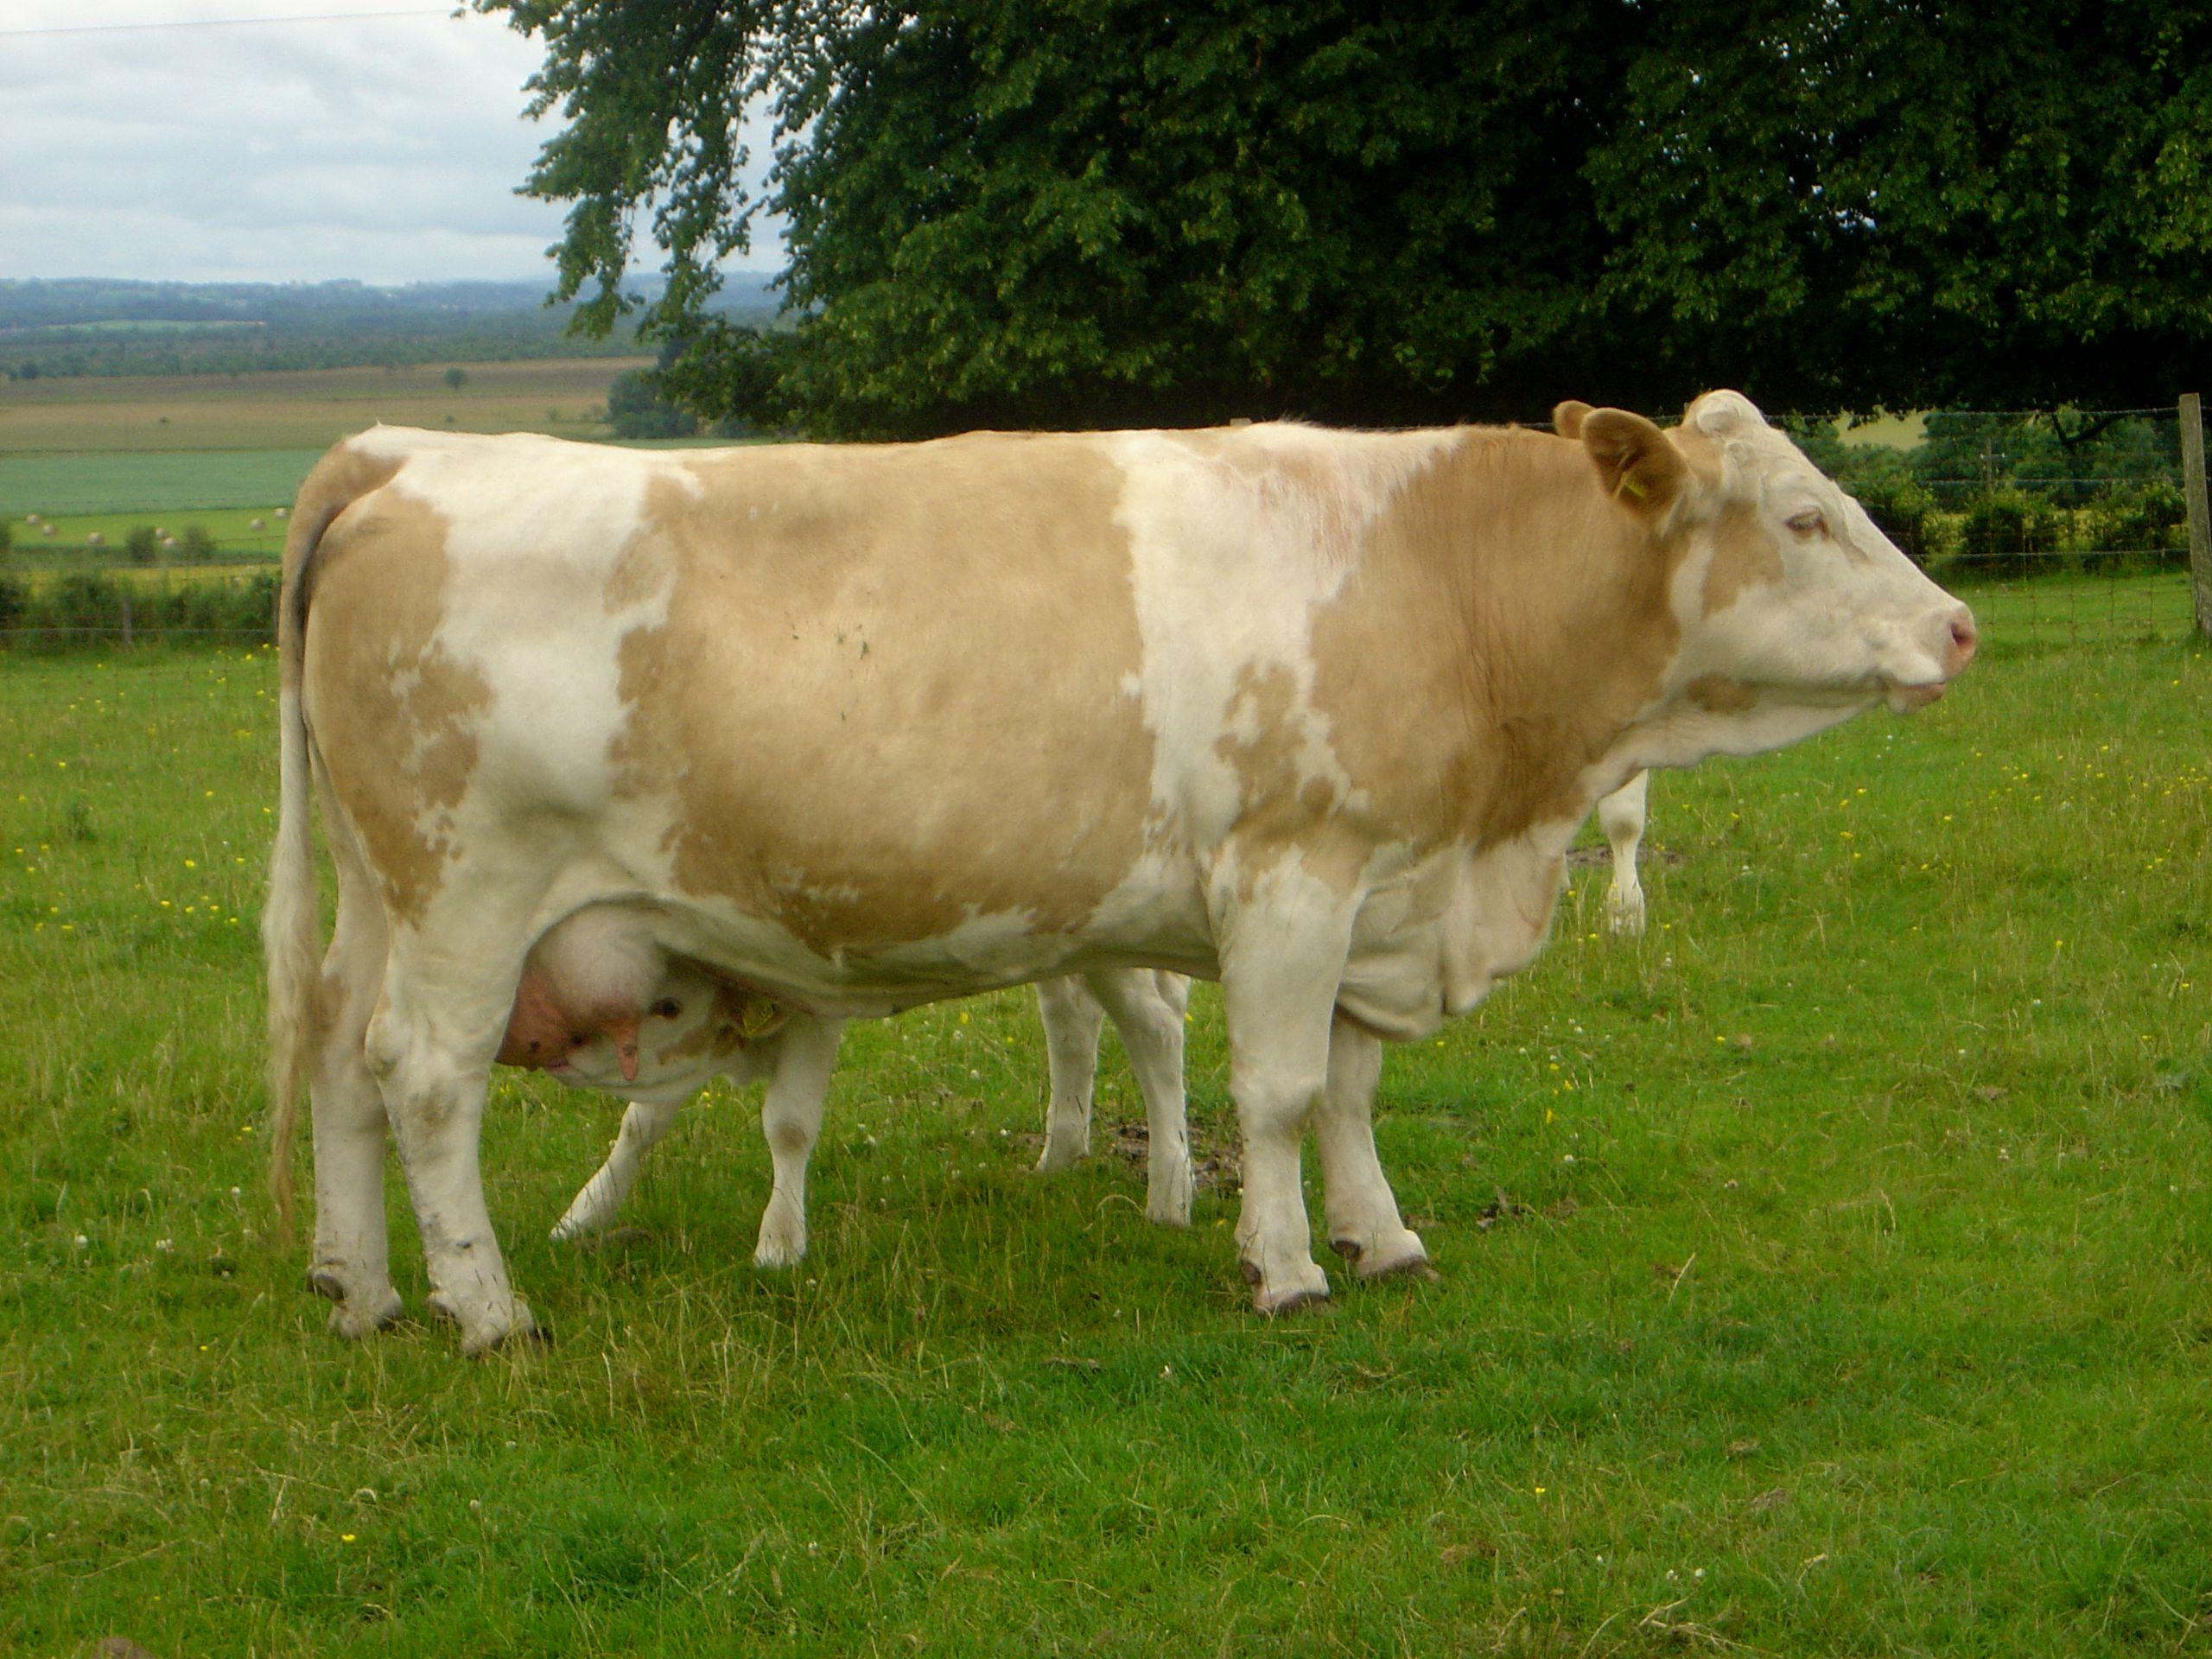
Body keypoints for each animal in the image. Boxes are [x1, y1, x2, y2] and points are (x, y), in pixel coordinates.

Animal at [263, 391, 1975, 1353]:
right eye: (1806, 518)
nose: (1958, 626)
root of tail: (401, 467)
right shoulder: (1295, 877)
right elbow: (1278, 1096)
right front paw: (1286, 1270)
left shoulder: (1378, 890)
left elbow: (1350, 1098)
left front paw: (1386, 1239)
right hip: (471, 893)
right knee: (425, 1084)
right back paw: (488, 1312)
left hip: (383, 899)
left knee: (341, 1063)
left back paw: (364, 1290)